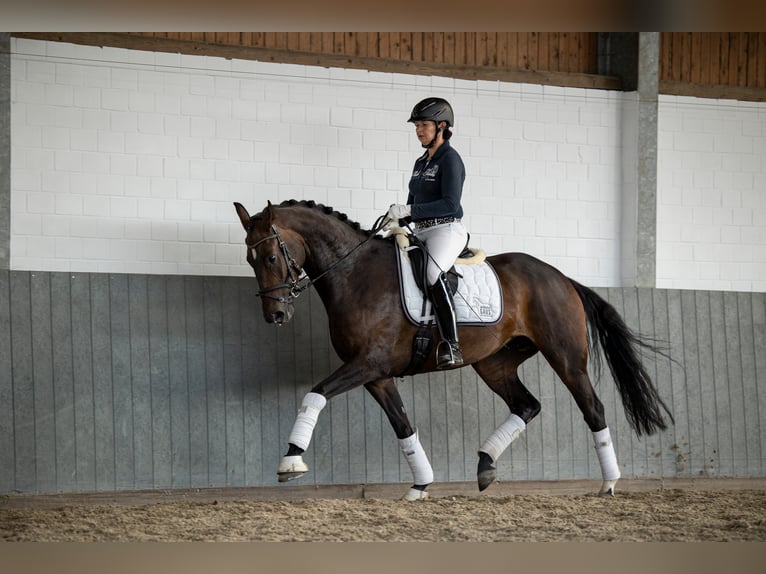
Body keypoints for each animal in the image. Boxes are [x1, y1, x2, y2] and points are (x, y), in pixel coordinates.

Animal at [232, 200, 672, 502]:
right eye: (249, 259)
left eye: (270, 256)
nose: (276, 315)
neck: (355, 275)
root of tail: (561, 277)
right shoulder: (377, 375)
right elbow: (404, 426)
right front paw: (420, 486)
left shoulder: (367, 364)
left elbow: (315, 394)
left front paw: (290, 461)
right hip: (495, 363)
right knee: (527, 405)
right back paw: (485, 466)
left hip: (565, 357)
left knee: (592, 408)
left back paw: (609, 482)